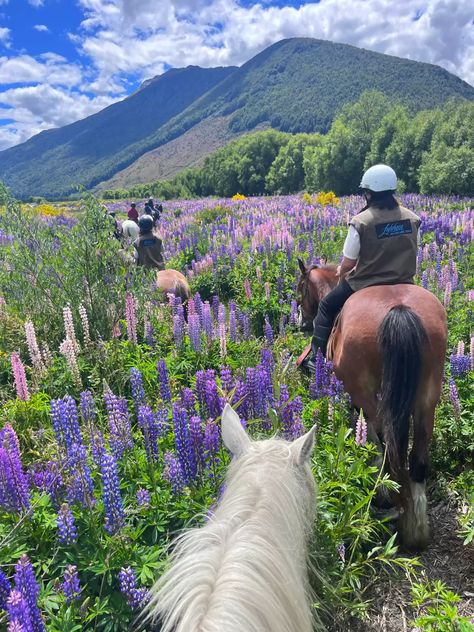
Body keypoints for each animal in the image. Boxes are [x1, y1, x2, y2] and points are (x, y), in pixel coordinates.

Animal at [296, 260, 448, 548]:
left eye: (300, 290)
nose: (304, 324)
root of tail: (399, 308)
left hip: (365, 394)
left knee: (385, 447)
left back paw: (389, 500)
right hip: (428, 397)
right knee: (417, 458)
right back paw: (416, 528)